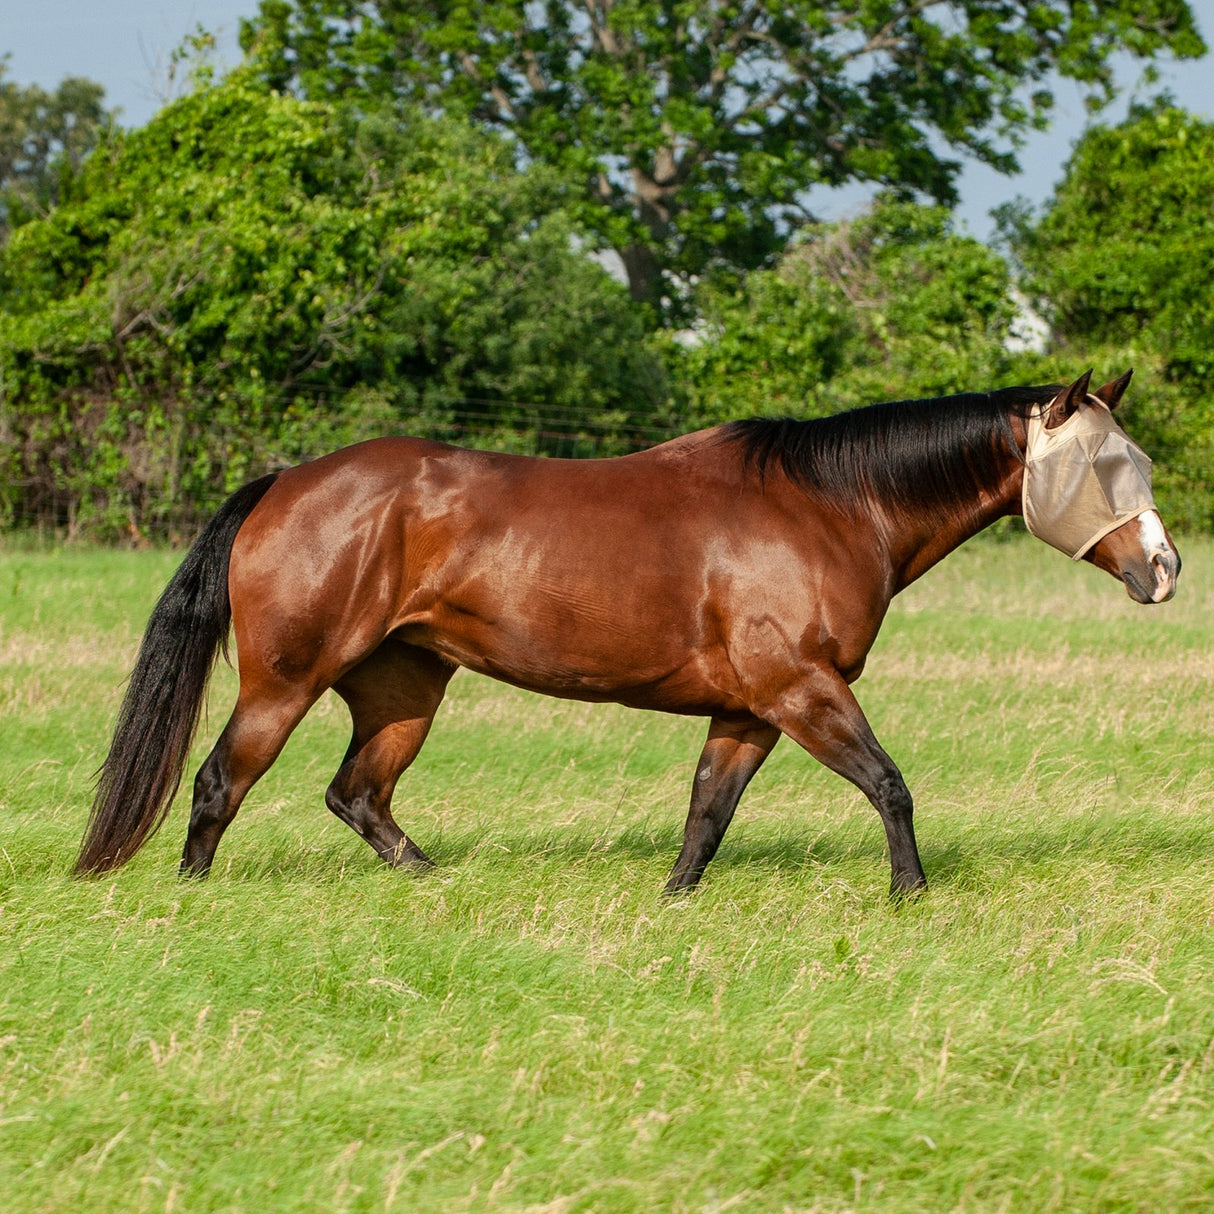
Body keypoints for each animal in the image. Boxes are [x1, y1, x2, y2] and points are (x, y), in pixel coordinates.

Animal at [74, 370, 1180, 895]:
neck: (830, 505)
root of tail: (284, 483)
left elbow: (706, 814)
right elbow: (888, 783)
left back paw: (436, 884)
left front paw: (674, 899)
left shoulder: (751, 708)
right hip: (286, 679)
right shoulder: (800, 688)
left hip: (403, 686)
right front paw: (911, 894)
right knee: (220, 781)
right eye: (1107, 466)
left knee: (358, 795)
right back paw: (194, 894)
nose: (1165, 569)